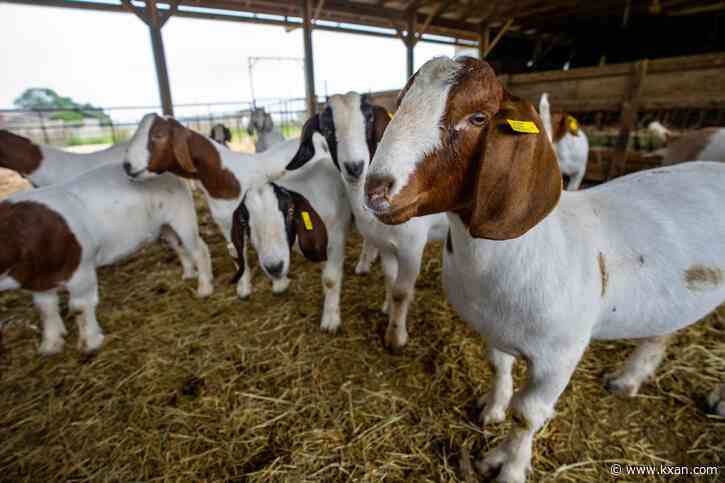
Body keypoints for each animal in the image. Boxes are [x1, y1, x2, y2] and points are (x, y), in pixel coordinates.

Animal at [0, 163, 213, 355]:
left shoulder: (81, 271)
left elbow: (80, 307)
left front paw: (90, 344)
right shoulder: (38, 282)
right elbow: (46, 309)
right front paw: (50, 346)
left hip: (182, 217)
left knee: (199, 249)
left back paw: (204, 289)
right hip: (165, 227)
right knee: (178, 246)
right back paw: (188, 274)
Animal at [230, 162, 349, 331]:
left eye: (291, 211)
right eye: (244, 221)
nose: (274, 267)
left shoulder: (336, 239)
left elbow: (330, 280)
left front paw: (330, 319)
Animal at [287, 92, 447, 350]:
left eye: (369, 119)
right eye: (327, 128)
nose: (355, 167)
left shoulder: (412, 246)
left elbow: (401, 292)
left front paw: (395, 338)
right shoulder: (386, 245)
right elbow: (391, 281)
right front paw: (388, 310)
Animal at [364, 56, 725, 483]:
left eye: (478, 117)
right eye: (400, 103)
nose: (375, 189)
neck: (526, 247)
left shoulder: (560, 355)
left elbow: (527, 415)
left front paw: (507, 467)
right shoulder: (493, 329)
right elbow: (498, 369)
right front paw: (492, 410)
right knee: (661, 332)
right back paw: (627, 380)